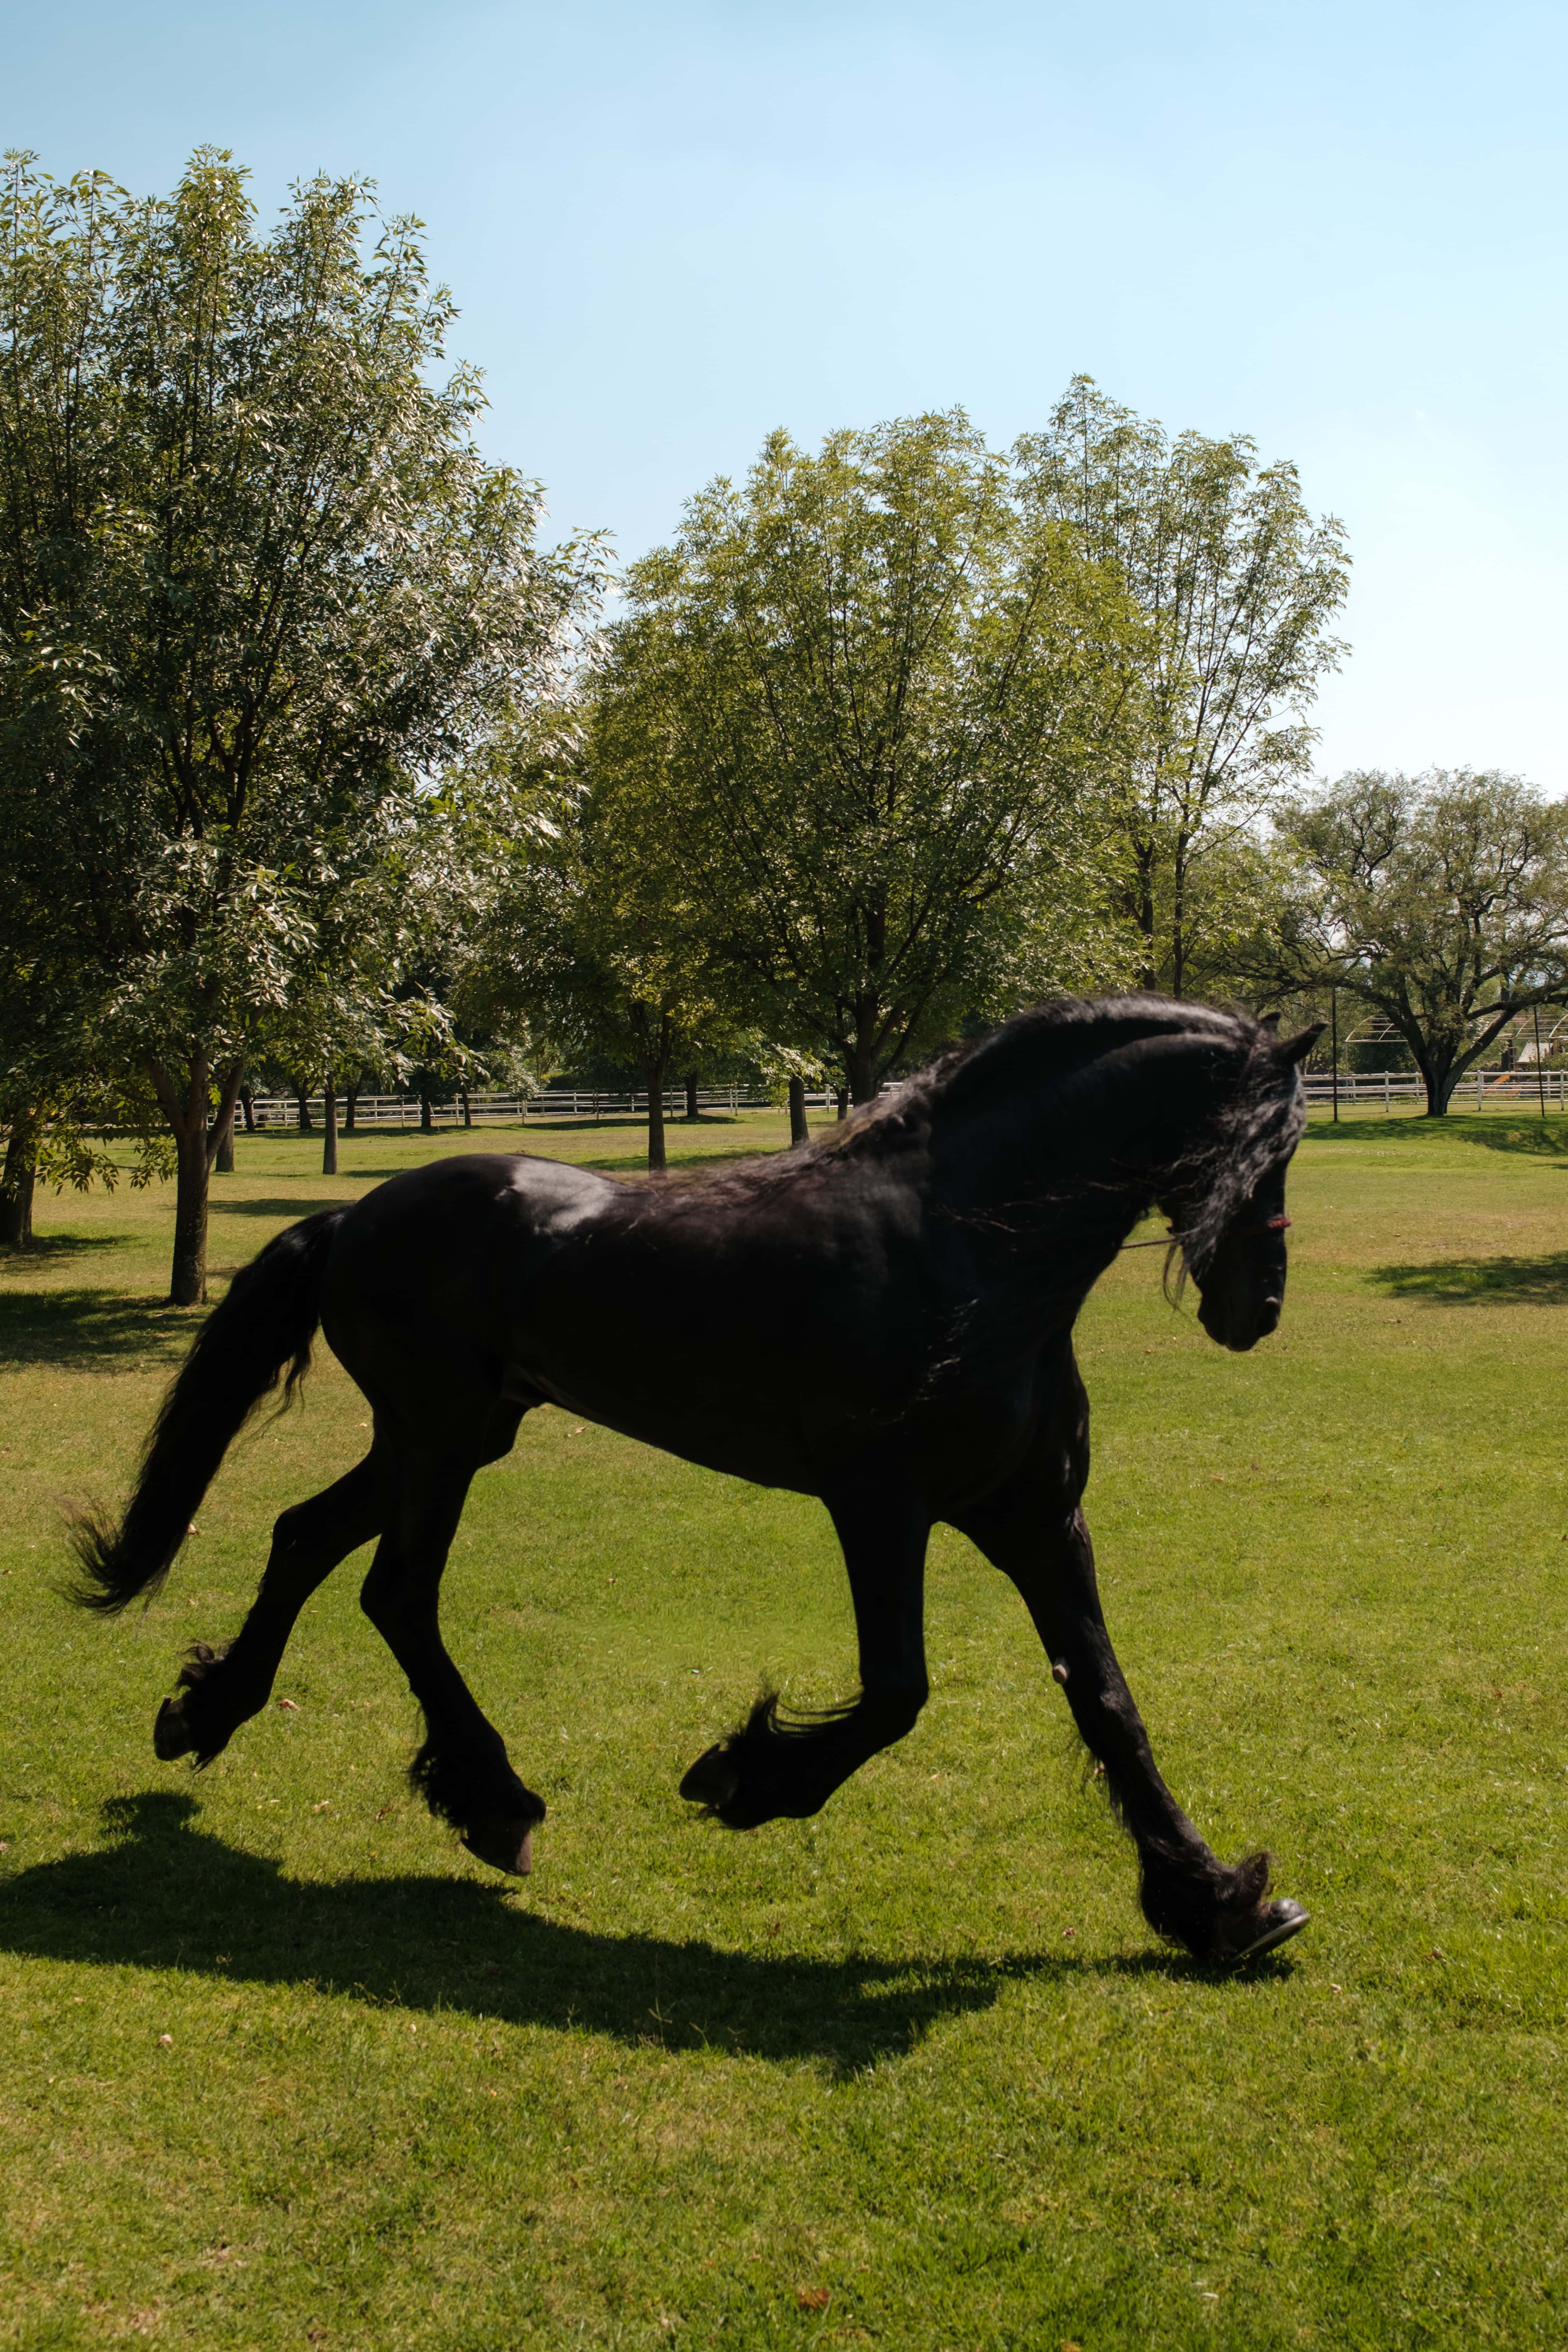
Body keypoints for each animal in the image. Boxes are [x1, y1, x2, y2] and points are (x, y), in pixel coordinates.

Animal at [73, 994, 1322, 1964]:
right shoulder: (881, 1507)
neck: (962, 1252)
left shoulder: (1035, 1516)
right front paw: (746, 1778)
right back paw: (494, 1802)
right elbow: (897, 1691)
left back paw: (209, 1711)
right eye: (1267, 1143)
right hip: (438, 1441)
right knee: (398, 1594)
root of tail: (356, 1215)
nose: (1255, 1307)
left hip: (449, 1439)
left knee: (303, 1536)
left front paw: (1219, 1905)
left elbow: (1107, 1702)